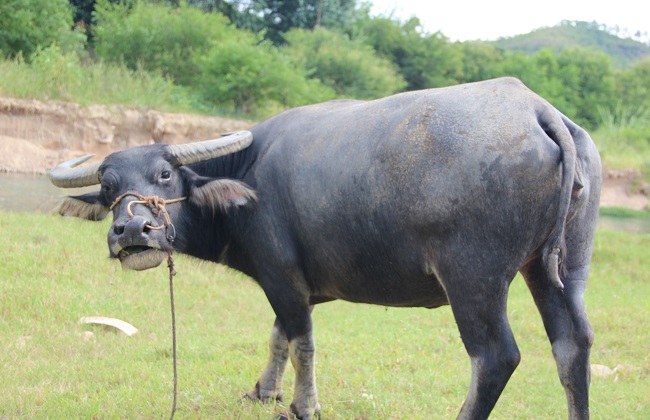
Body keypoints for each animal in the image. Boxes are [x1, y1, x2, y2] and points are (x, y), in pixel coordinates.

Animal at [48, 77, 600, 418]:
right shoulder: (288, 284)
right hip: (557, 267)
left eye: (165, 174)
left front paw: (303, 405)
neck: (248, 178)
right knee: (573, 345)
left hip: (474, 278)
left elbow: (302, 343)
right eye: (107, 188)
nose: (132, 231)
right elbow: (279, 337)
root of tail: (537, 110)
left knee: (496, 358)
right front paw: (264, 391)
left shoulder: (282, 278)